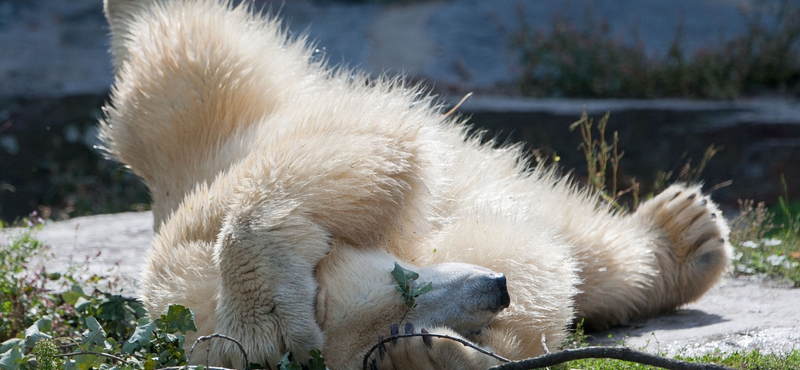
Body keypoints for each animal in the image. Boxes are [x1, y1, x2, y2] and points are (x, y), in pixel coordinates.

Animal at [98, 0, 732, 370]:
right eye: (400, 314)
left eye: (400, 281)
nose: (495, 290)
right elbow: (522, 254)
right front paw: (430, 356)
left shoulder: (193, 232)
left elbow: (371, 150)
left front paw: (268, 309)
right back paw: (688, 238)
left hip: (197, 114)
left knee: (179, 59)